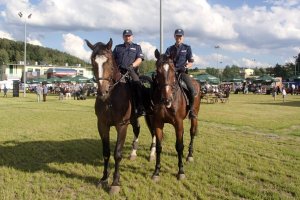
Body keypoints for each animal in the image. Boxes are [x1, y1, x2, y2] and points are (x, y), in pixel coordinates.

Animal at [85, 38, 154, 194]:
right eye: (93, 61)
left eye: (109, 62)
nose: (102, 92)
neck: (111, 97)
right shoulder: (102, 125)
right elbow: (106, 152)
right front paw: (104, 178)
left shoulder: (121, 125)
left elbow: (117, 153)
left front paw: (115, 182)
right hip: (134, 119)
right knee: (137, 130)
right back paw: (133, 153)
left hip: (151, 117)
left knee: (155, 133)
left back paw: (152, 154)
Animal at [152, 48, 202, 181]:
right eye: (157, 71)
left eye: (173, 70)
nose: (167, 99)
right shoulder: (158, 123)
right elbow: (159, 147)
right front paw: (156, 171)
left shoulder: (178, 123)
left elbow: (179, 146)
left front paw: (181, 171)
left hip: (194, 115)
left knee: (192, 132)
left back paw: (190, 155)